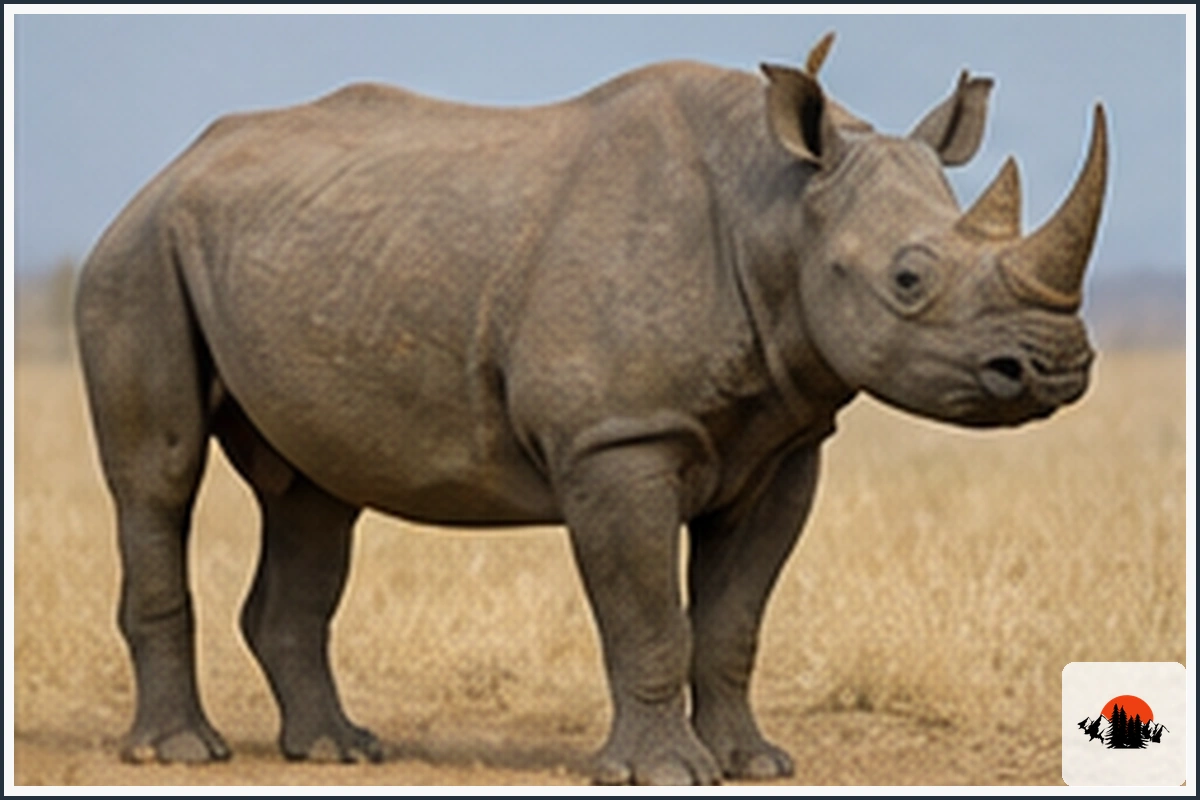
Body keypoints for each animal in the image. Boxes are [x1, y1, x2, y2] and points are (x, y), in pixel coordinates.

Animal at [75, 33, 1107, 784]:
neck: (782, 208)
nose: (1057, 368)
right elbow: (647, 612)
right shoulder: (617, 438)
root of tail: (163, 173)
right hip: (136, 256)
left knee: (314, 495)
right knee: (158, 476)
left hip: (277, 252)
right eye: (908, 280)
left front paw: (756, 765)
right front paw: (666, 775)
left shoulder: (785, 441)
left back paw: (338, 750)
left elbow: (734, 620)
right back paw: (181, 753)